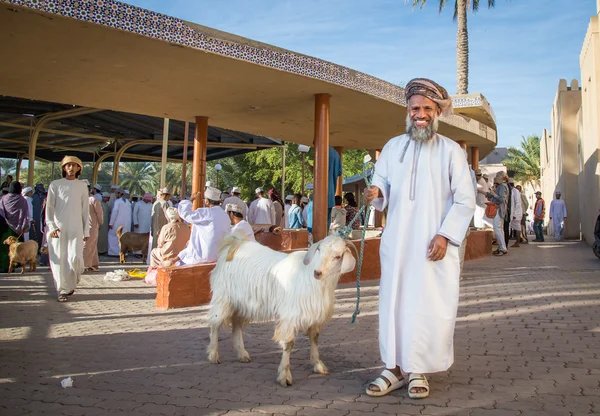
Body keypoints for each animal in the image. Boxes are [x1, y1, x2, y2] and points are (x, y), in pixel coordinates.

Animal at [206, 234, 356, 386]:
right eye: (319, 250)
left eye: (338, 256)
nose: (317, 273)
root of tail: (234, 244)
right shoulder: (290, 316)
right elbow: (288, 344)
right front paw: (285, 376)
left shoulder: (315, 316)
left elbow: (314, 339)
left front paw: (318, 365)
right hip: (223, 298)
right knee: (214, 324)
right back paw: (213, 355)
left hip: (241, 304)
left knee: (236, 324)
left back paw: (242, 354)